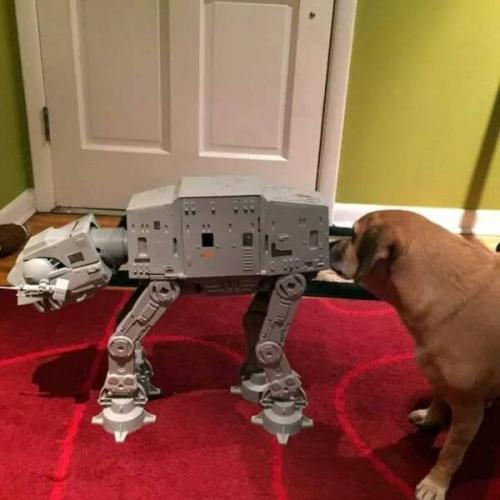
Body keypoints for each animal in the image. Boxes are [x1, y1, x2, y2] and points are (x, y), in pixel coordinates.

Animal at [330, 210, 500, 500]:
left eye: (352, 235)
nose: (329, 245)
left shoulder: (468, 411)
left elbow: (450, 453)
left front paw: (436, 483)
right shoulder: (436, 374)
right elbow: (438, 399)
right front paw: (431, 417)